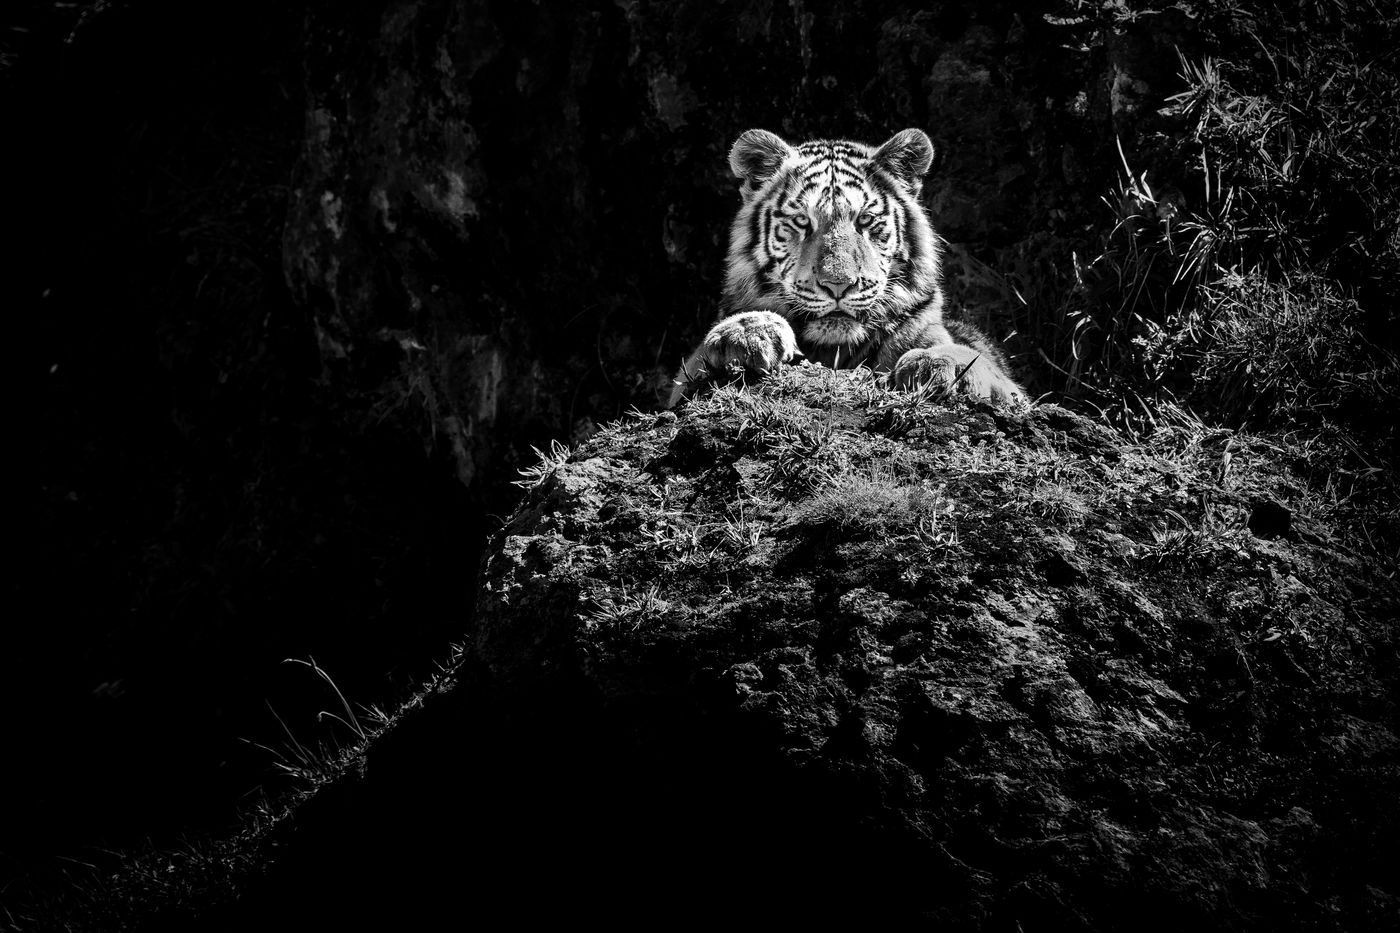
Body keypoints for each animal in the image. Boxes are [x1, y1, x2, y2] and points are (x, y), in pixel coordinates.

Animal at [663, 127, 1019, 406]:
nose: (838, 285)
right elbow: (696, 358)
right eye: (802, 221)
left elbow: (977, 361)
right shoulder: (682, 383)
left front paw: (937, 363)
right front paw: (747, 333)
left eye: (865, 220)